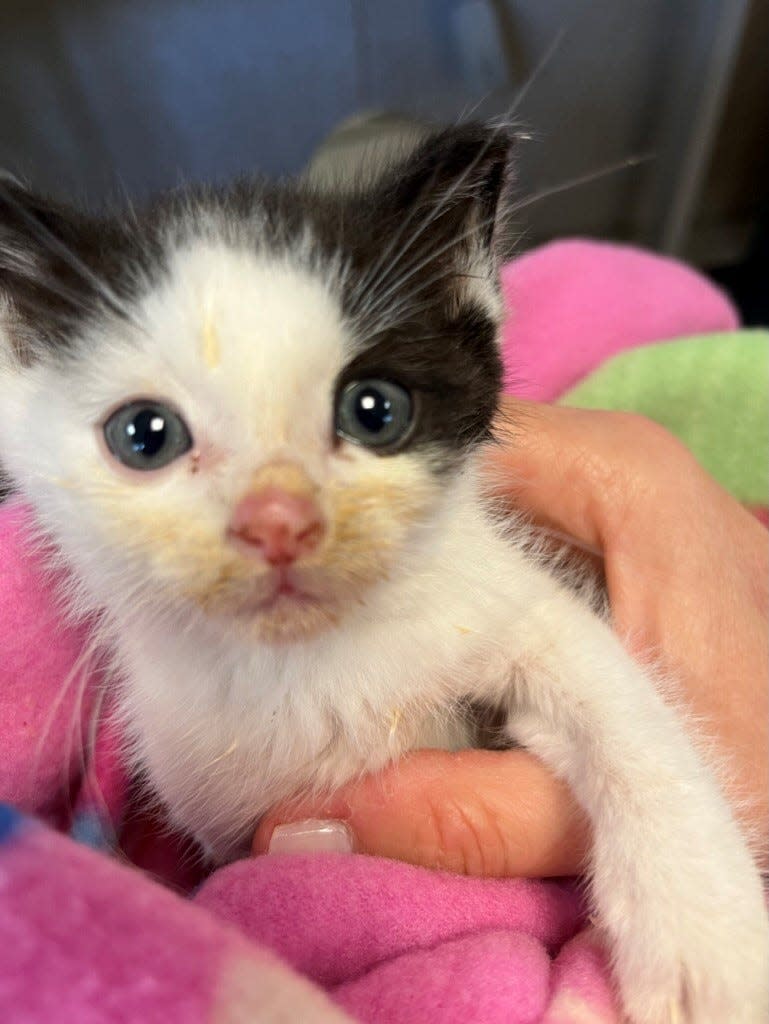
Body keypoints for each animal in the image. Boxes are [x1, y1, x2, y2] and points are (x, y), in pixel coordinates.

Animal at [0, 128, 765, 1024]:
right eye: (144, 435)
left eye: (375, 410)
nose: (278, 521)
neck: (313, 663)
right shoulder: (211, 798)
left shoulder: (507, 599)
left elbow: (619, 706)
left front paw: (704, 942)